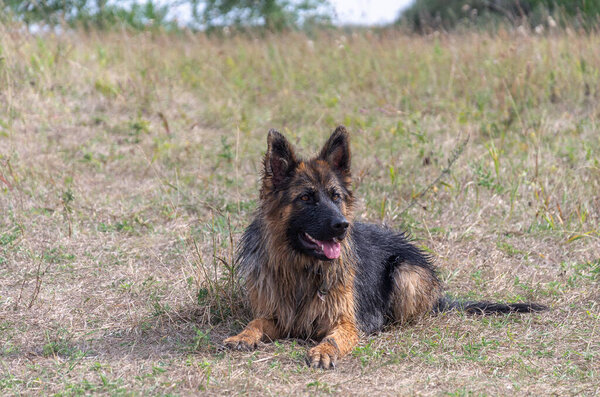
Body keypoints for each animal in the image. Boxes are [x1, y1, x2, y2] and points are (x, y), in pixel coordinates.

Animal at [223, 126, 548, 368]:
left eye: (336, 196)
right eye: (305, 198)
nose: (342, 226)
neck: (302, 268)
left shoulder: (347, 322)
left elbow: (333, 338)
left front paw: (324, 351)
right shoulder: (277, 314)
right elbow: (256, 321)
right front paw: (243, 336)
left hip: (405, 273)